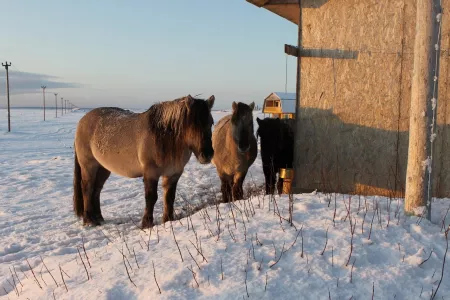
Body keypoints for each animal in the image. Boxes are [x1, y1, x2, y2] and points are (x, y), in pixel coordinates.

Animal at [73, 95, 215, 227]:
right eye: (192, 124)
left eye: (211, 123)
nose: (207, 154)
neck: (164, 138)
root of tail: (82, 121)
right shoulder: (151, 173)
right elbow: (151, 197)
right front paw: (147, 223)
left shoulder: (173, 174)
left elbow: (169, 197)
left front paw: (168, 220)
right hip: (89, 165)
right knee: (87, 188)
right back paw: (89, 220)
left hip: (103, 168)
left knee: (97, 189)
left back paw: (99, 218)